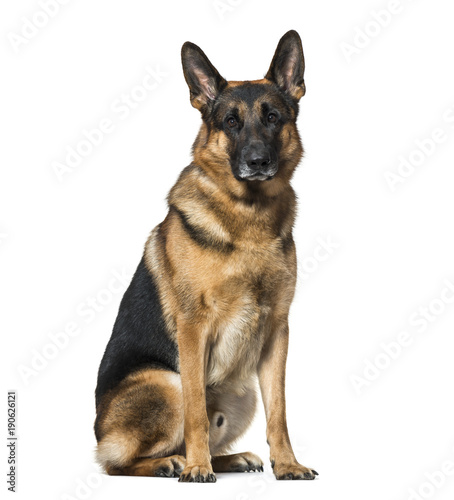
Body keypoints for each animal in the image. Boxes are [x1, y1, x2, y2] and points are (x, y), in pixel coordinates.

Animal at [94, 29, 318, 482]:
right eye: (230, 122)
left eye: (273, 117)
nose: (257, 161)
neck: (249, 218)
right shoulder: (193, 328)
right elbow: (196, 410)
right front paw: (197, 469)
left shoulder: (277, 331)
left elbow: (280, 412)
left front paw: (287, 464)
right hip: (166, 381)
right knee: (116, 463)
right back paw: (174, 462)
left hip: (244, 393)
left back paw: (229, 459)